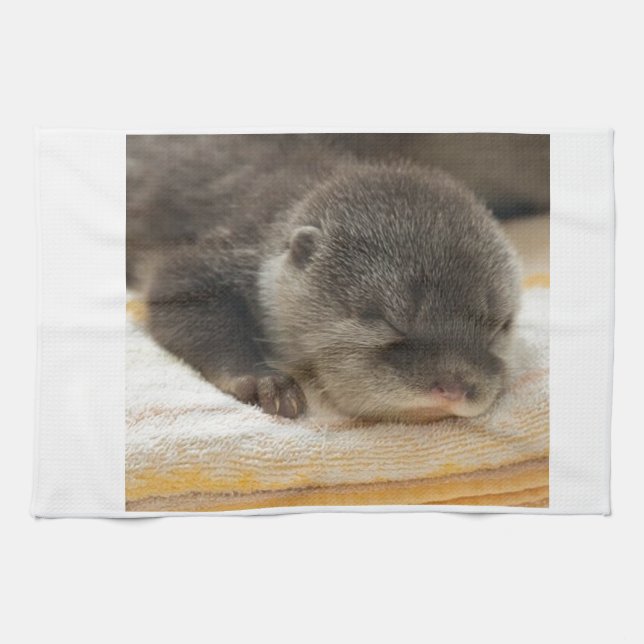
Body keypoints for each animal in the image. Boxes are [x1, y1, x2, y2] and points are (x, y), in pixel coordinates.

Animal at [127, 135, 521, 422]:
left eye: (498, 328)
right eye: (388, 321)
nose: (454, 387)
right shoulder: (223, 252)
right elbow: (174, 289)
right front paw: (264, 381)